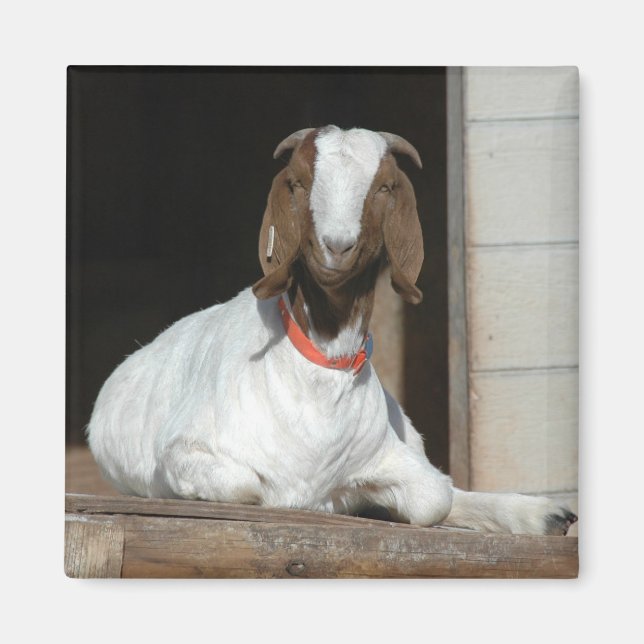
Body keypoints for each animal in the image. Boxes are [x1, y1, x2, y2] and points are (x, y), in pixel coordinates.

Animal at [87, 125, 577, 535]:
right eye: (299, 183)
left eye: (384, 187)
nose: (337, 246)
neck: (318, 365)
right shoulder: (184, 450)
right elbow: (250, 486)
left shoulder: (393, 453)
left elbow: (433, 496)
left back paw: (545, 514)